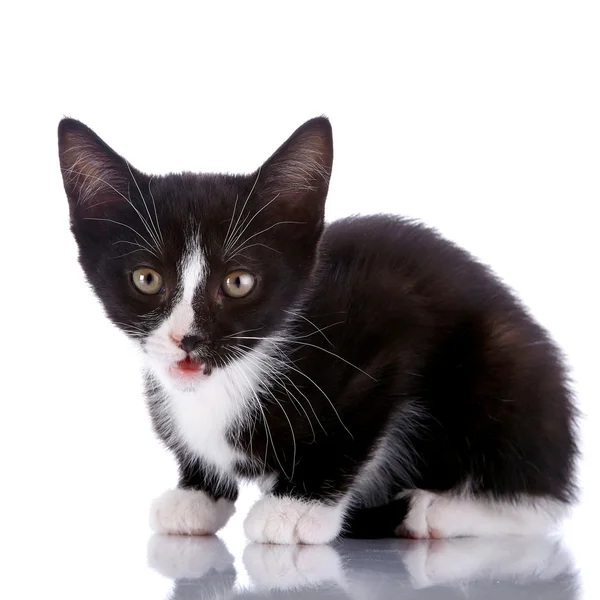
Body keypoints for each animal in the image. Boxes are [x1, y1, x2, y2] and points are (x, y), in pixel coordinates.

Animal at [57, 116, 576, 544]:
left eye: (239, 282)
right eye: (147, 278)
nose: (187, 339)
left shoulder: (390, 323)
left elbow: (354, 427)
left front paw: (296, 508)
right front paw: (197, 494)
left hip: (506, 365)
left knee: (540, 501)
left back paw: (435, 512)